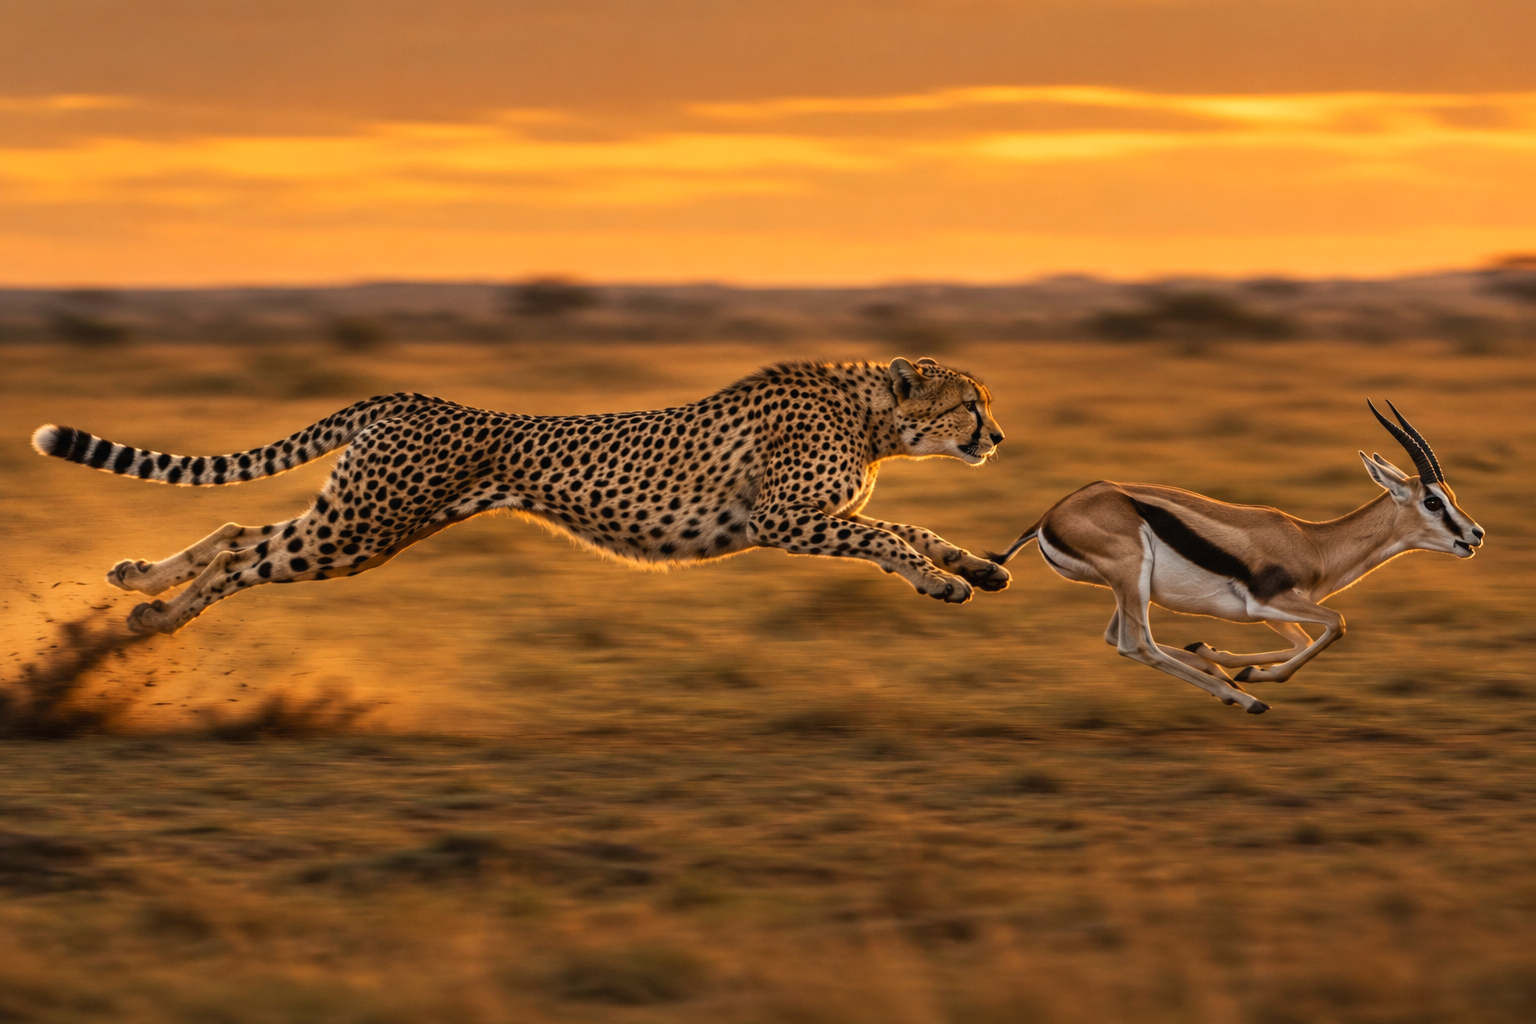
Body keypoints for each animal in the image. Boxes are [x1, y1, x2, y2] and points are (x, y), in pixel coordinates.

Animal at [30, 357, 1009, 635]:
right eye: (971, 403)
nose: (997, 438)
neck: (872, 413)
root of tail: (410, 397)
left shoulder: (811, 515)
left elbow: (907, 521)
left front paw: (976, 567)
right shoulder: (780, 519)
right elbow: (884, 535)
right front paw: (942, 581)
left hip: (363, 520)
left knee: (239, 529)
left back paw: (137, 585)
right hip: (358, 529)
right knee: (245, 555)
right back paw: (154, 615)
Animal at [988, 401, 1484, 715]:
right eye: (1433, 502)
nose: (1475, 535)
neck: (1313, 542)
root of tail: (1049, 516)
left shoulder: (1268, 611)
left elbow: (1301, 641)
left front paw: (1226, 659)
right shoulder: (1269, 601)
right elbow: (1335, 625)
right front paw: (1250, 678)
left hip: (1129, 589)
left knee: (1117, 637)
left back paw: (1219, 677)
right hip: (1132, 577)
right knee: (1136, 644)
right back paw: (1245, 700)